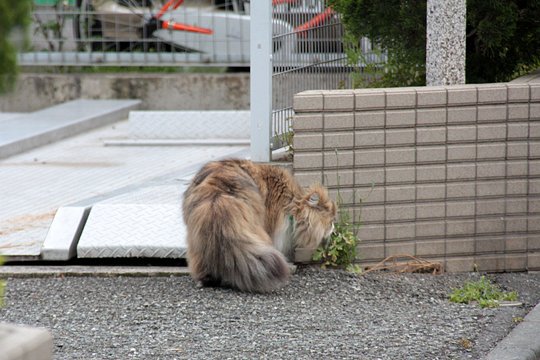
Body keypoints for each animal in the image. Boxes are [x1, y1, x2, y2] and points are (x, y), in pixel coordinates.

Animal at [186, 160, 338, 292]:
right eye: (331, 221)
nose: (334, 228)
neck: (291, 202)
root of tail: (218, 193)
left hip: (199, 235)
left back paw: (207, 279)